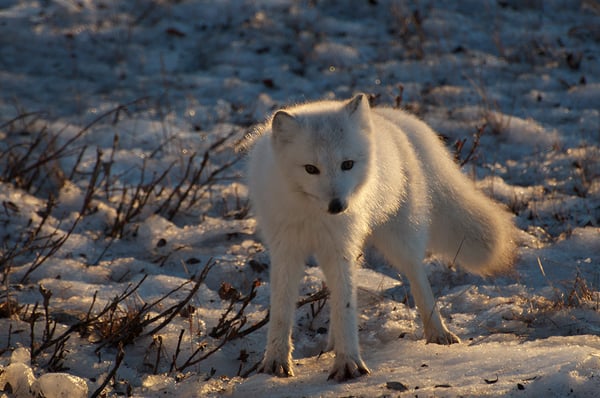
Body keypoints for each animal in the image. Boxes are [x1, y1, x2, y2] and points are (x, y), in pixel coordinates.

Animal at [244, 94, 516, 382]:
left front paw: (348, 363)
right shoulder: (285, 249)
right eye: (310, 169)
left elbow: (346, 306)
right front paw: (275, 362)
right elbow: (282, 310)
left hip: (399, 239)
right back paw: (331, 343)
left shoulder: (340, 247)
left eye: (347, 164)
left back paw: (438, 333)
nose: (338, 206)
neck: (313, 215)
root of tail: (389, 118)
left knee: (417, 276)